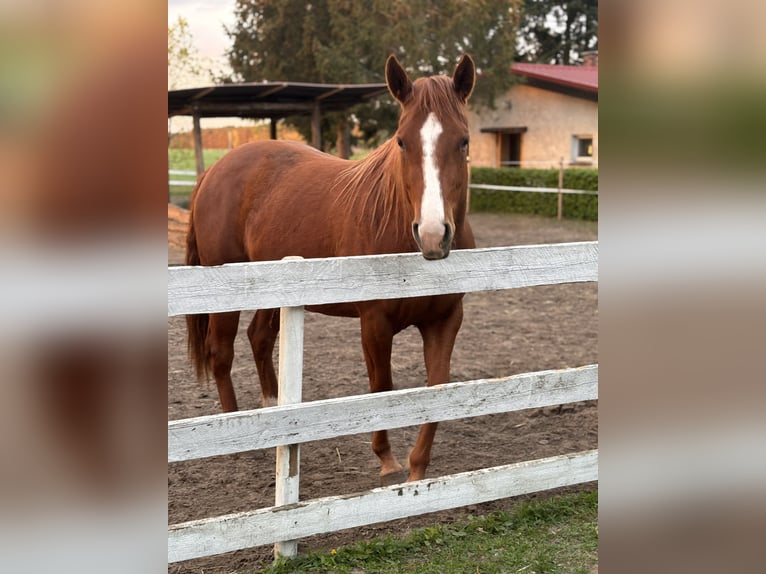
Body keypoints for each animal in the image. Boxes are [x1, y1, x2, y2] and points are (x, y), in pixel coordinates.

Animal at [186, 55, 474, 486]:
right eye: (402, 140)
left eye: (464, 141)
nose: (433, 234)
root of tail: (214, 172)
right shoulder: (374, 323)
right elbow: (381, 386)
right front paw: (386, 459)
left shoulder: (445, 320)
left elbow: (437, 389)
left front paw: (417, 471)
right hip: (226, 289)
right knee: (220, 352)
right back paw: (239, 436)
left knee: (259, 339)